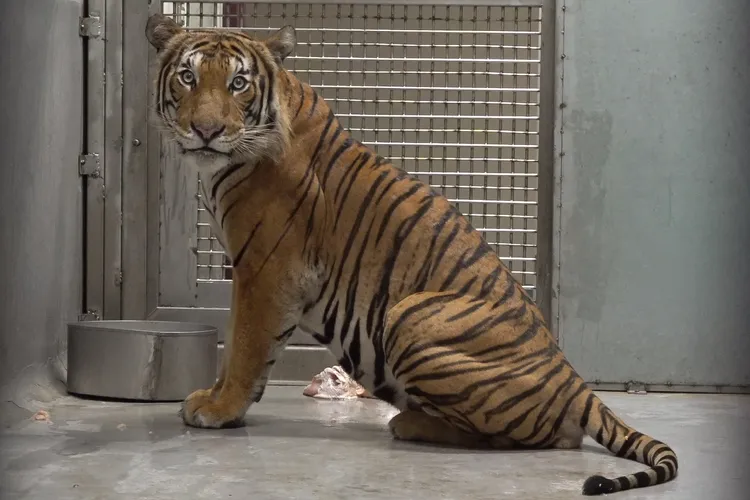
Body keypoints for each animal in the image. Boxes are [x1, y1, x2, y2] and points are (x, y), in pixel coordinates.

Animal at [145, 13, 678, 496]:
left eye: (238, 83)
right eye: (188, 76)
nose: (206, 130)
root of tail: (576, 381)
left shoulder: (267, 269)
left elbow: (245, 346)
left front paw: (220, 409)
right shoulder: (250, 270)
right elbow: (234, 338)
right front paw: (212, 398)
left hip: (409, 313)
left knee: (536, 438)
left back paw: (409, 423)